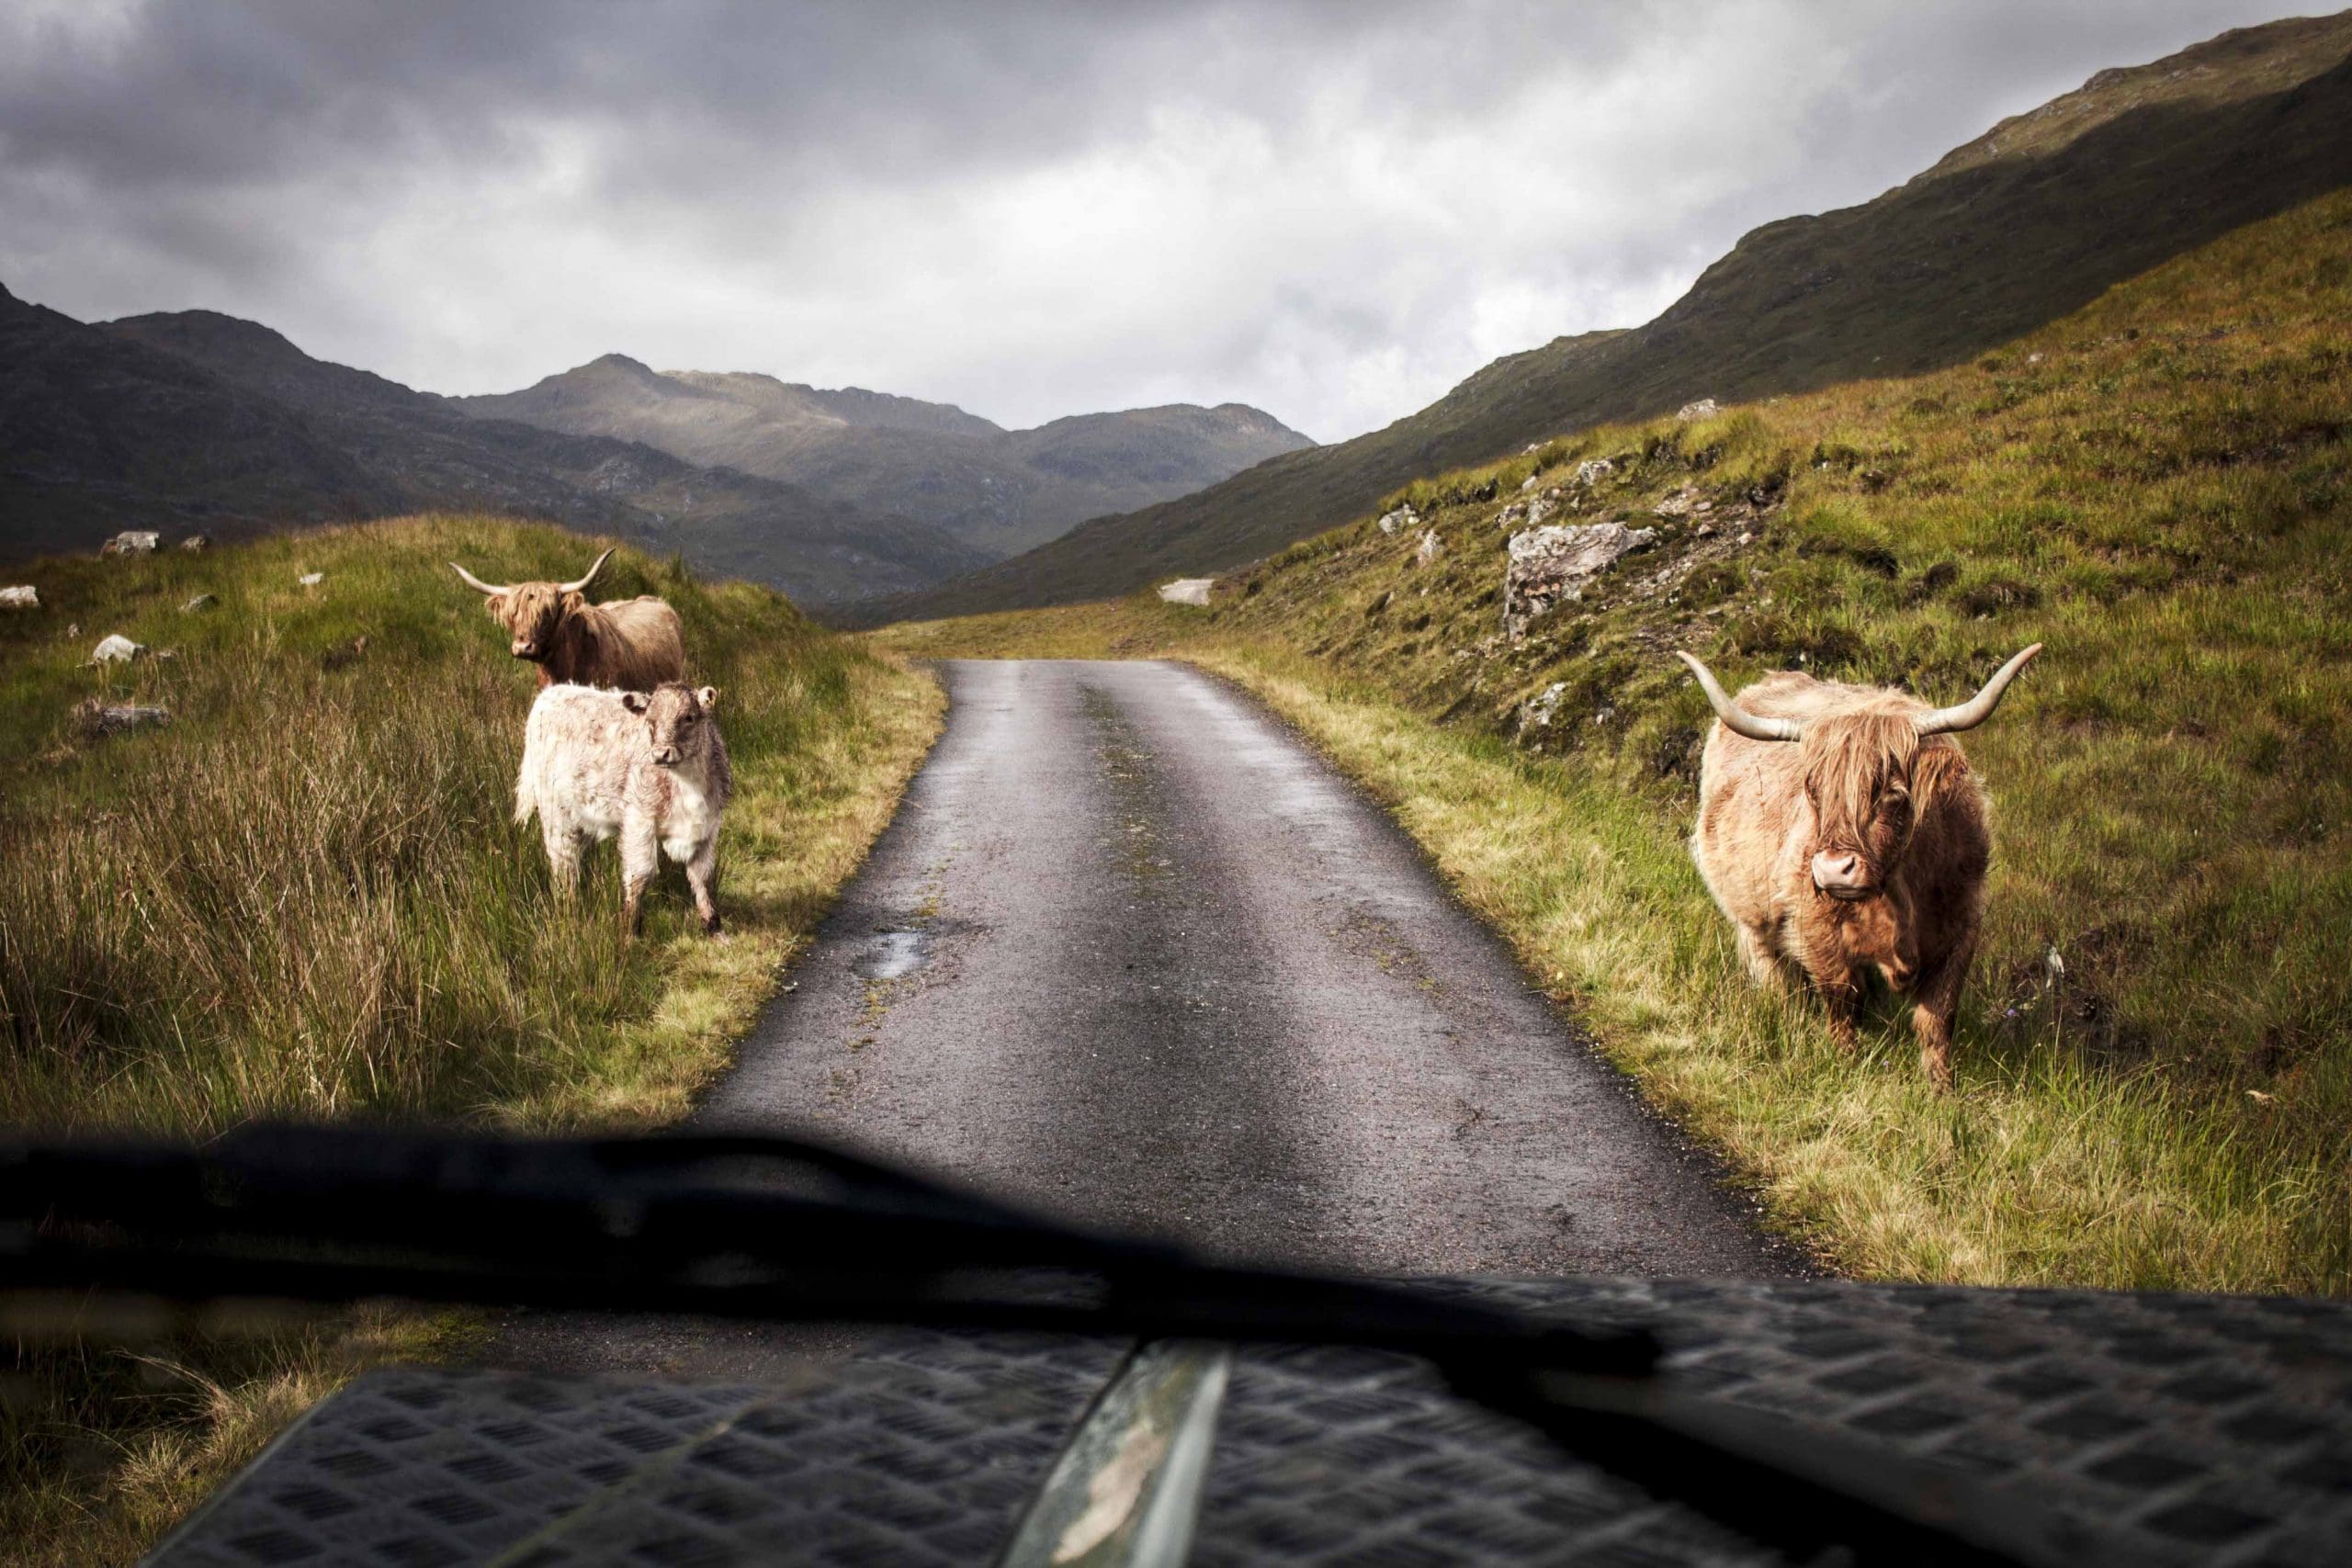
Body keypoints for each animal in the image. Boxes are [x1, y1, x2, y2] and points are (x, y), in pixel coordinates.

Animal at [513, 681, 733, 938]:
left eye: (688, 718)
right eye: (650, 721)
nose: (661, 754)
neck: (687, 784)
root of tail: (551, 692)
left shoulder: (708, 826)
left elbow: (704, 877)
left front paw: (714, 927)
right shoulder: (639, 820)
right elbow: (640, 874)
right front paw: (631, 928)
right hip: (555, 813)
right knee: (563, 863)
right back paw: (568, 907)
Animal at [1676, 644, 2041, 1091]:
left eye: (1893, 793)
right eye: (1814, 790)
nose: (1833, 869)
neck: (1898, 896)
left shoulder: (1962, 927)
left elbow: (1938, 1019)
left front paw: (1941, 1088)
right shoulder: (1814, 929)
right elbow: (1842, 998)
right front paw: (1844, 1063)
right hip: (1751, 920)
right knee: (1777, 981)